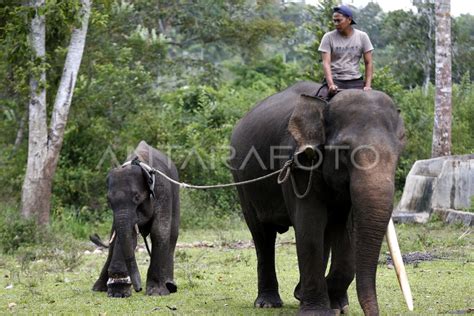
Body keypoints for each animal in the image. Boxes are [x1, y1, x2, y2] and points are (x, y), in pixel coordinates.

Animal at [230, 81, 404, 314]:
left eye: (398, 152)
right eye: (344, 151)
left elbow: (346, 229)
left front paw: (336, 306)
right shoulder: (299, 164)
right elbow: (310, 224)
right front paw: (316, 310)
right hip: (242, 180)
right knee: (262, 233)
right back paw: (268, 303)